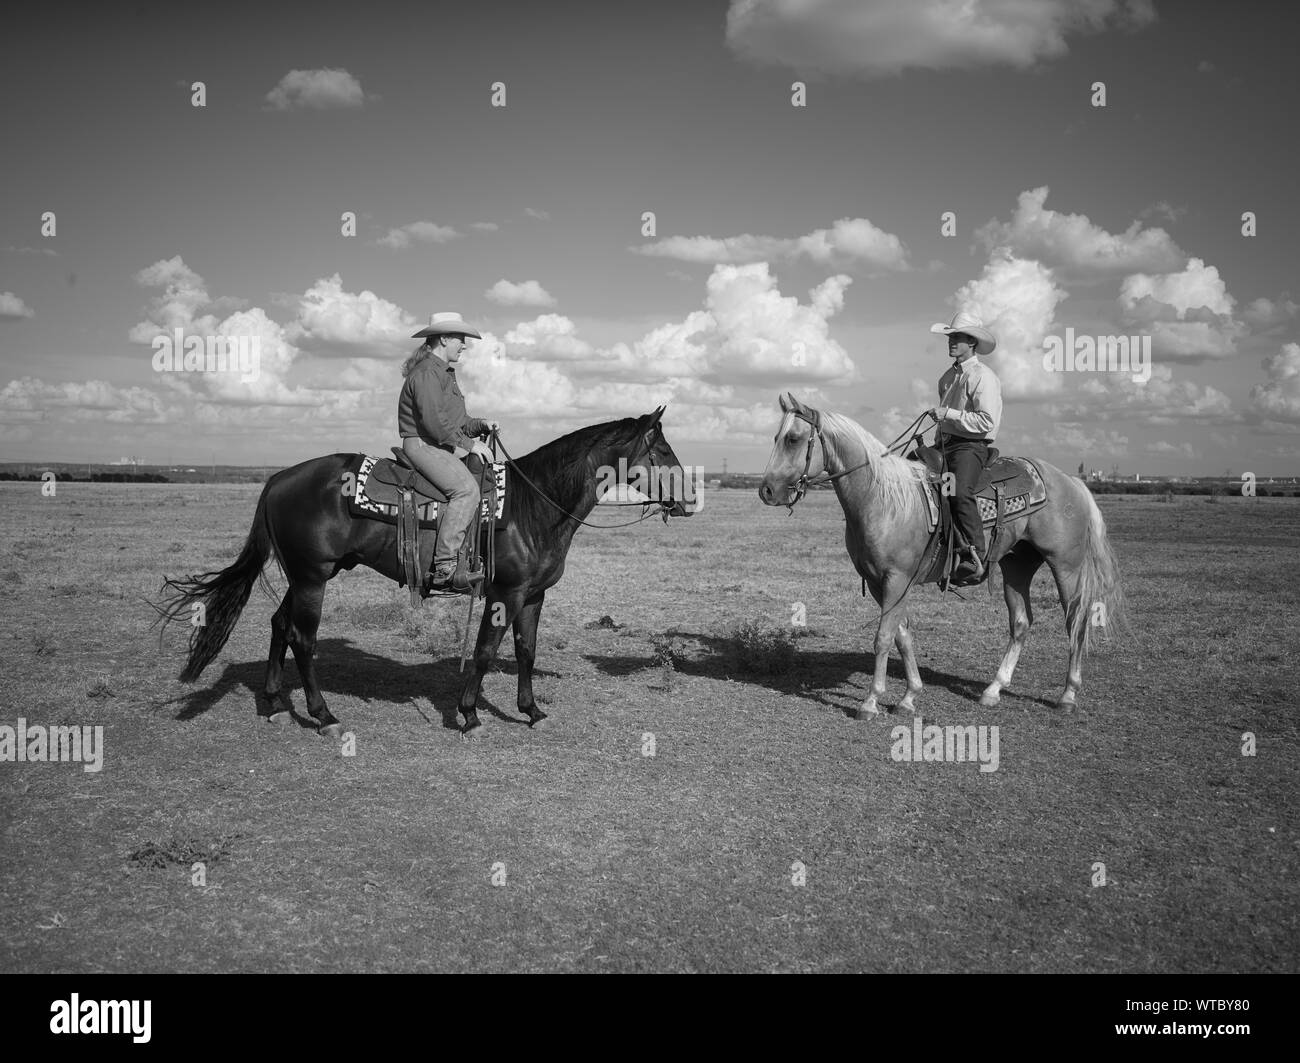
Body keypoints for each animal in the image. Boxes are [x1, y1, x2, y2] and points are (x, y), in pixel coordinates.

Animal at [157, 410, 691, 732]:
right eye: (663, 451)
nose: (686, 499)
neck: (532, 506)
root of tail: (277, 480)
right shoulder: (505, 592)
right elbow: (484, 652)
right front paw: (469, 713)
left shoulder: (534, 595)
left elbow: (525, 652)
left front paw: (532, 710)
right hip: (312, 577)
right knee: (302, 638)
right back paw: (323, 715)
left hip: (305, 575)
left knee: (278, 625)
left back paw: (270, 703)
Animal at [759, 392, 1123, 717]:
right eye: (777, 436)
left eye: (793, 439)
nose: (766, 490)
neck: (882, 498)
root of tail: (1070, 480)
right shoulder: (881, 583)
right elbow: (902, 636)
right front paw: (909, 697)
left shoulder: (897, 579)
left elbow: (883, 638)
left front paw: (871, 702)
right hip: (1018, 565)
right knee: (1021, 623)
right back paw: (993, 690)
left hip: (1066, 566)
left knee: (1076, 619)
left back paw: (1068, 695)